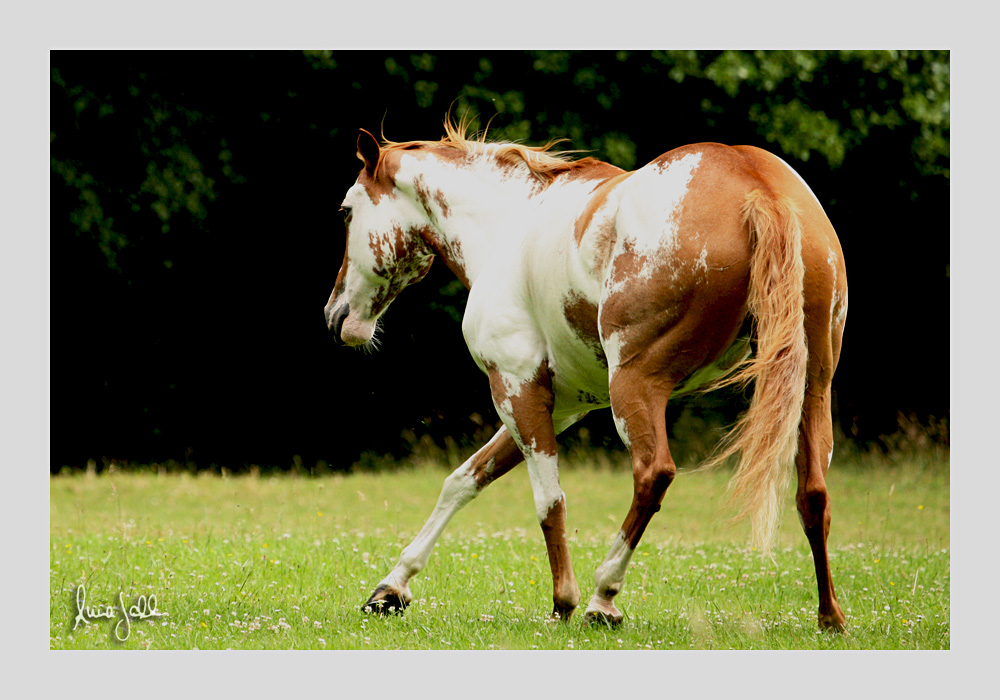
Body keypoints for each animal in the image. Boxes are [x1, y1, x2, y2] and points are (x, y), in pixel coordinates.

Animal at [324, 119, 848, 628]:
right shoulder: (561, 405)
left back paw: (603, 597)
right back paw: (830, 615)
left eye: (346, 211)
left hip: (635, 386)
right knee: (814, 494)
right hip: (812, 389)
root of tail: (756, 184)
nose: (335, 316)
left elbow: (548, 501)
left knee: (654, 474)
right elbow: (465, 479)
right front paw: (391, 588)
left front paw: (564, 602)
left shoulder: (516, 387)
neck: (507, 227)